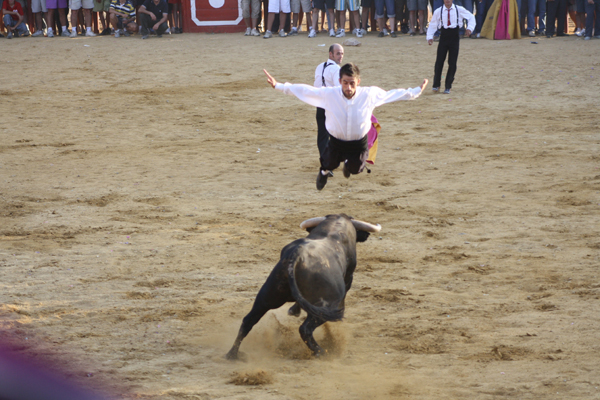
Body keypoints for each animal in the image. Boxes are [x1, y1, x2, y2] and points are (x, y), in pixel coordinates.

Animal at [225, 216, 380, 360]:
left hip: (267, 296)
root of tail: (296, 256)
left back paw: (232, 354)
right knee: (305, 329)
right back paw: (322, 352)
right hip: (328, 306)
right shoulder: (349, 277)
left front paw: (293, 311)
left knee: (248, 320)